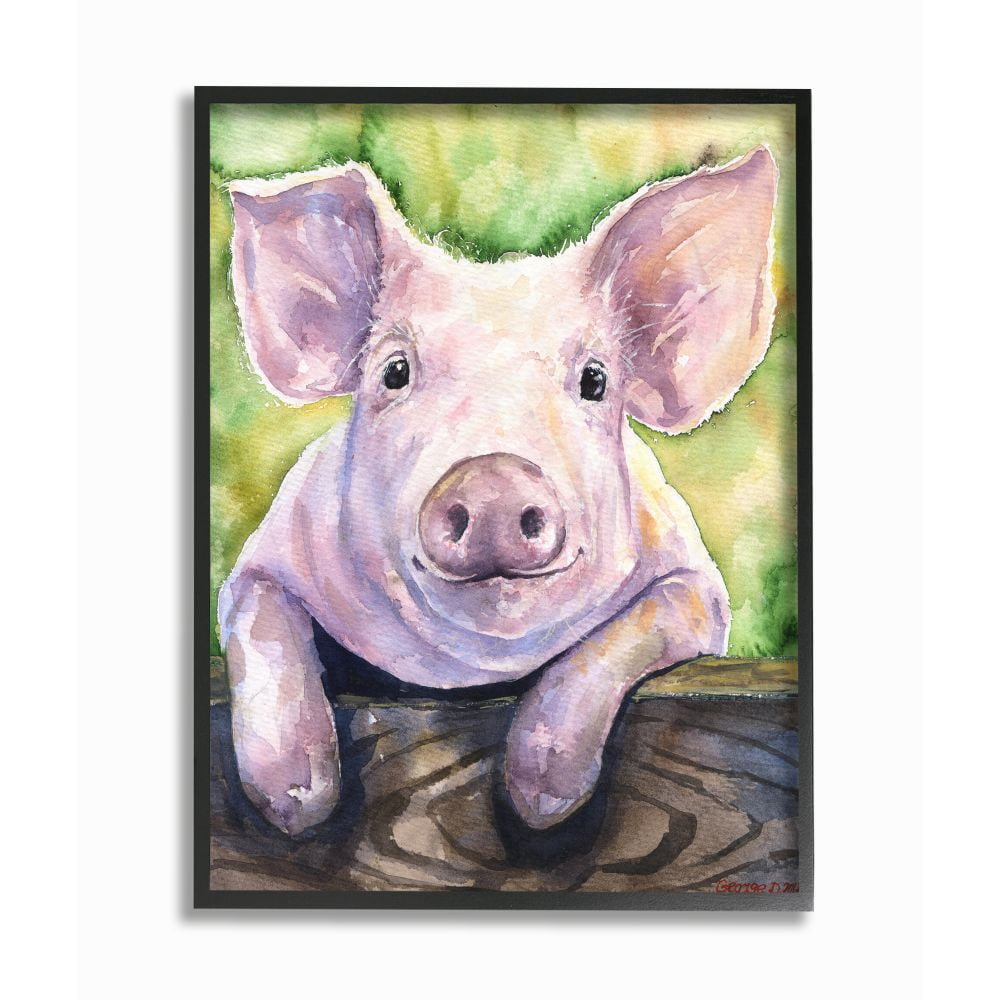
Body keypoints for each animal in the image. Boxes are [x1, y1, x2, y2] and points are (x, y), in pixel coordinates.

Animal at [219, 146, 778, 836]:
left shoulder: (699, 588)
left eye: (595, 381)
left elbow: (626, 634)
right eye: (394, 371)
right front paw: (297, 803)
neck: (466, 673)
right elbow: (262, 618)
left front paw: (542, 804)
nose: (494, 482)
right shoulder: (262, 559)